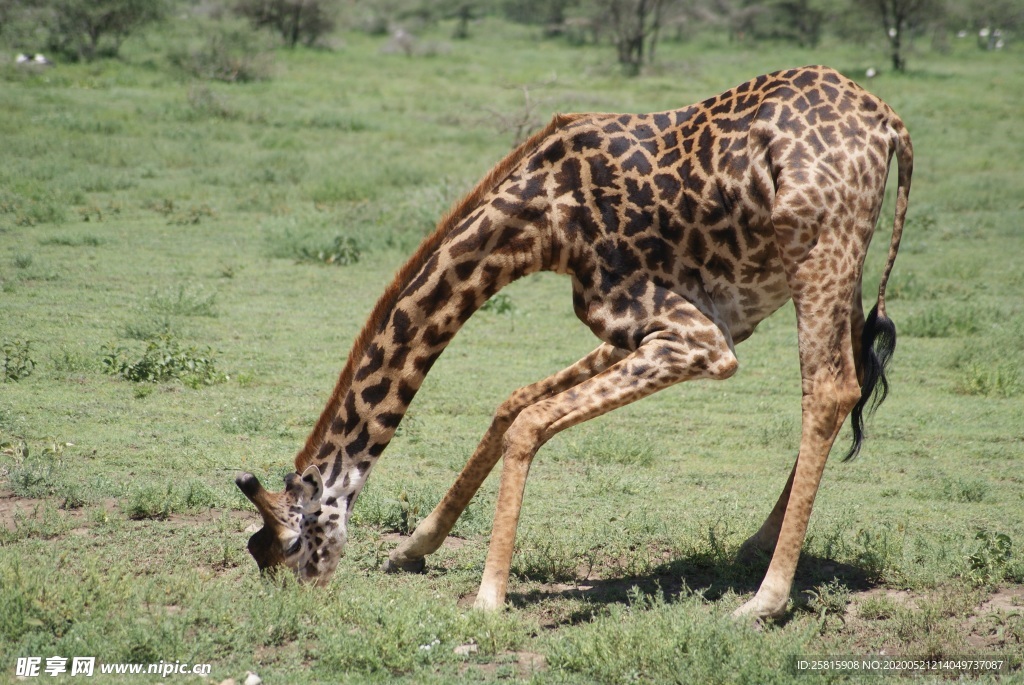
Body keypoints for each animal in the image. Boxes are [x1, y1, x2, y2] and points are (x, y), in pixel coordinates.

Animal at [237, 65, 913, 618]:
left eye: (293, 543)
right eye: (262, 552)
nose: (305, 598)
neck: (541, 224)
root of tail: (890, 123)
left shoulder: (698, 340)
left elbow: (529, 423)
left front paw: (488, 598)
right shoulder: (648, 327)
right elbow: (511, 403)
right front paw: (413, 548)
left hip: (819, 248)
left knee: (828, 389)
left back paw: (765, 601)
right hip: (838, 266)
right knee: (849, 378)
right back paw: (755, 546)